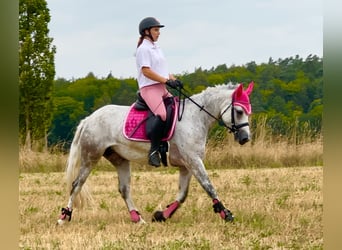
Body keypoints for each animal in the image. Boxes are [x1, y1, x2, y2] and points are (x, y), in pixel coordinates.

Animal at [56, 81, 254, 225]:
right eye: (239, 111)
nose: (245, 138)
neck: (195, 118)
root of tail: (89, 119)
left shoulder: (187, 165)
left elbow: (183, 194)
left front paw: (161, 215)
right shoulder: (193, 160)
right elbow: (208, 186)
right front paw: (226, 214)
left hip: (120, 159)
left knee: (124, 189)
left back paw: (138, 219)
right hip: (91, 156)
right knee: (77, 185)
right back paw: (64, 217)